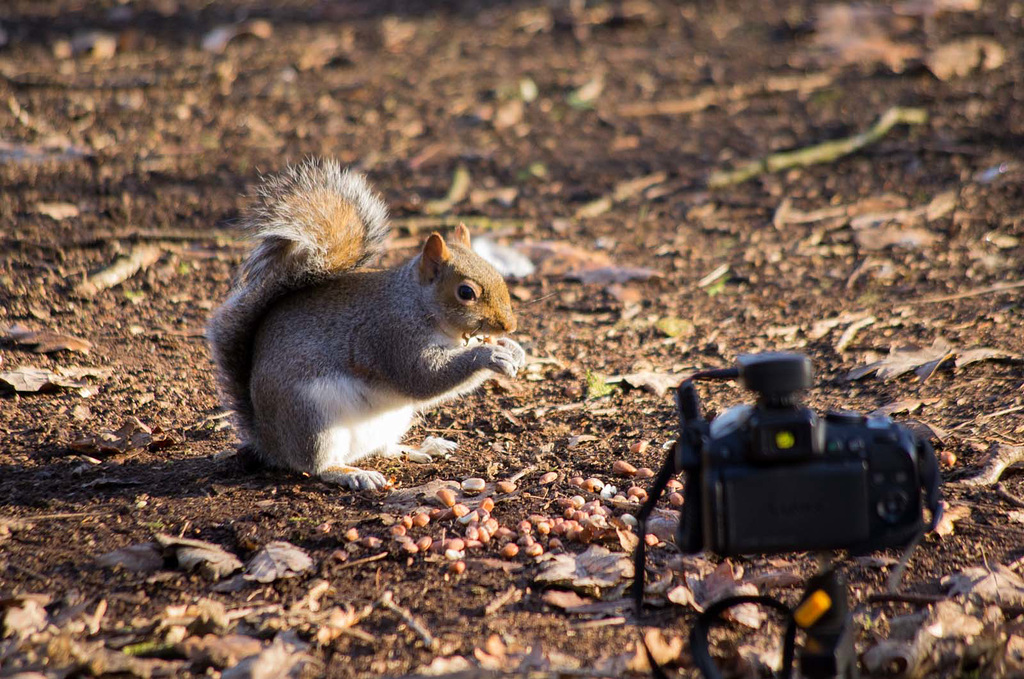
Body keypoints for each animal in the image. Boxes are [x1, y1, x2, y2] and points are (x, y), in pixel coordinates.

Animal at [208, 158, 528, 489]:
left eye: (497, 273)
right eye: (466, 292)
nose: (509, 326)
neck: (416, 304)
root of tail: (267, 440)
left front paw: (513, 349)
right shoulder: (392, 336)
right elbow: (425, 377)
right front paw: (490, 355)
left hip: (391, 420)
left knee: (382, 448)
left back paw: (418, 448)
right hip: (312, 420)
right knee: (316, 465)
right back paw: (352, 473)